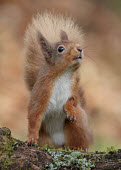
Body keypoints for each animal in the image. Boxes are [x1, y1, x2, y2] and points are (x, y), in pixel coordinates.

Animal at [23, 11, 92, 150]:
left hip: (78, 123)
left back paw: (76, 148)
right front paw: (31, 137)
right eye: (61, 49)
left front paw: (69, 108)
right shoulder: (40, 93)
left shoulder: (73, 88)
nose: (80, 48)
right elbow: (34, 115)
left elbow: (74, 100)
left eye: (74, 42)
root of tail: (59, 144)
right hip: (44, 137)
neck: (63, 74)